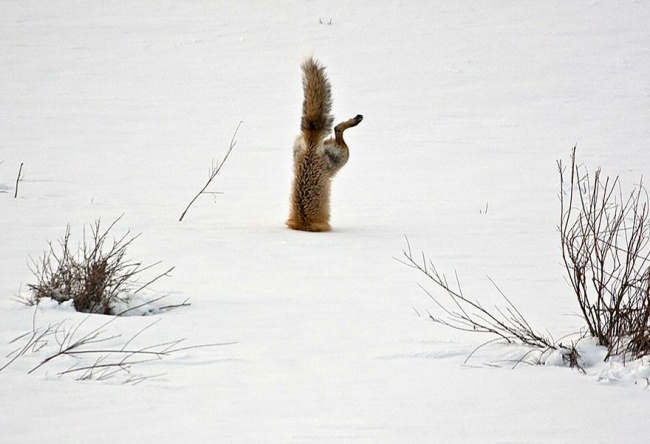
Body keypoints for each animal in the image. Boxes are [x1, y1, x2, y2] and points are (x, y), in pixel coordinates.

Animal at [286, 57, 362, 232]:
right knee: (337, 128)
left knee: (338, 128)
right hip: (341, 158)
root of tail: (311, 142)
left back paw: (355, 120)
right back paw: (355, 120)